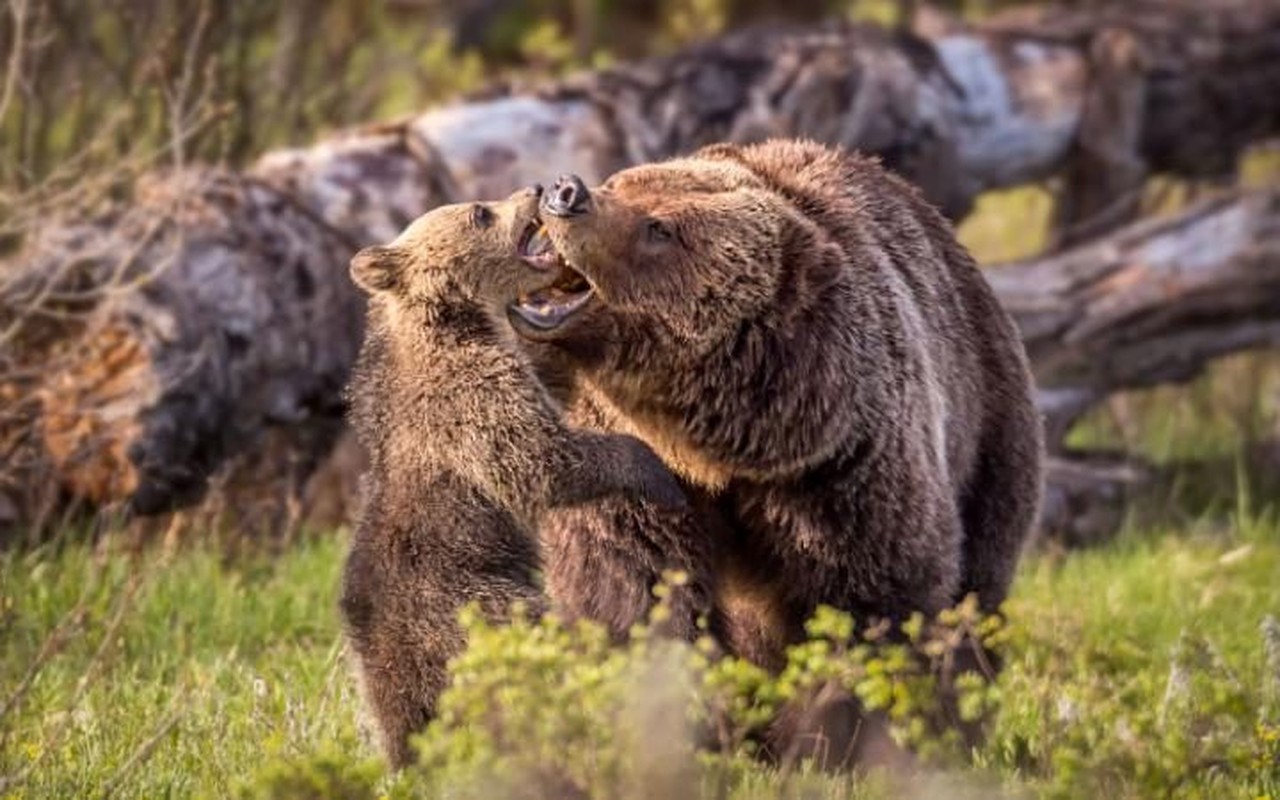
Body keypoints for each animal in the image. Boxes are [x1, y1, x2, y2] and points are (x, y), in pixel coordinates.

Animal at [335, 184, 686, 762]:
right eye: (480, 212)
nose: (538, 189)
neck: (457, 318)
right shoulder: (471, 393)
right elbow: (540, 459)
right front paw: (655, 469)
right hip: (475, 604)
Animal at [504, 136, 1044, 762]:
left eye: (659, 228)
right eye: (622, 182)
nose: (567, 193)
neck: (719, 448)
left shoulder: (839, 471)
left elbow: (868, 603)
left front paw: (822, 742)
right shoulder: (637, 470)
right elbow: (633, 589)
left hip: (989, 434)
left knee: (977, 590)